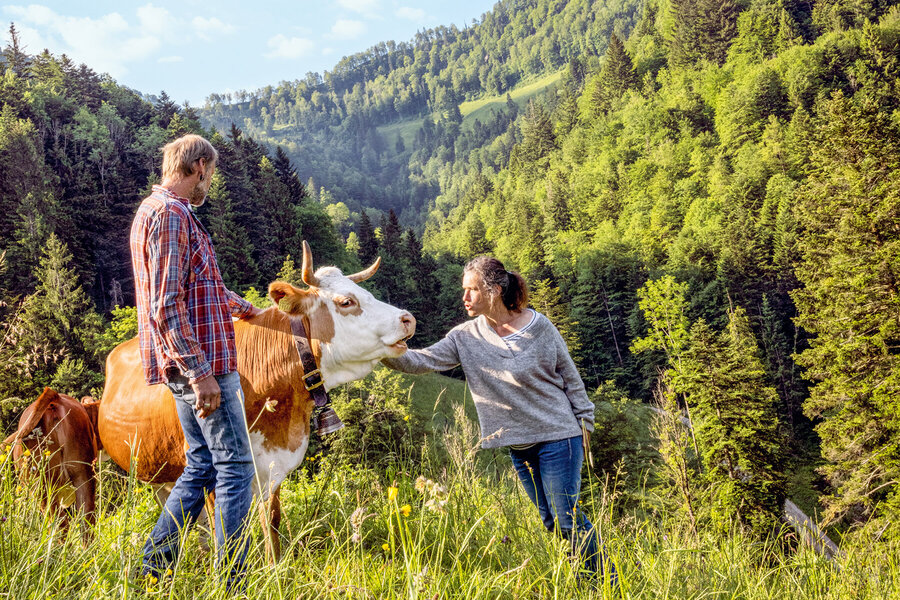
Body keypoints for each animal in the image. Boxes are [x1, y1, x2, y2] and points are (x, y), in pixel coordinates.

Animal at [100, 241, 416, 560]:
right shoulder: (215, 474)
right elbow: (222, 528)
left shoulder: (273, 467)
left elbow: (271, 521)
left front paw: (275, 565)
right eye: (347, 302)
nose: (407, 319)